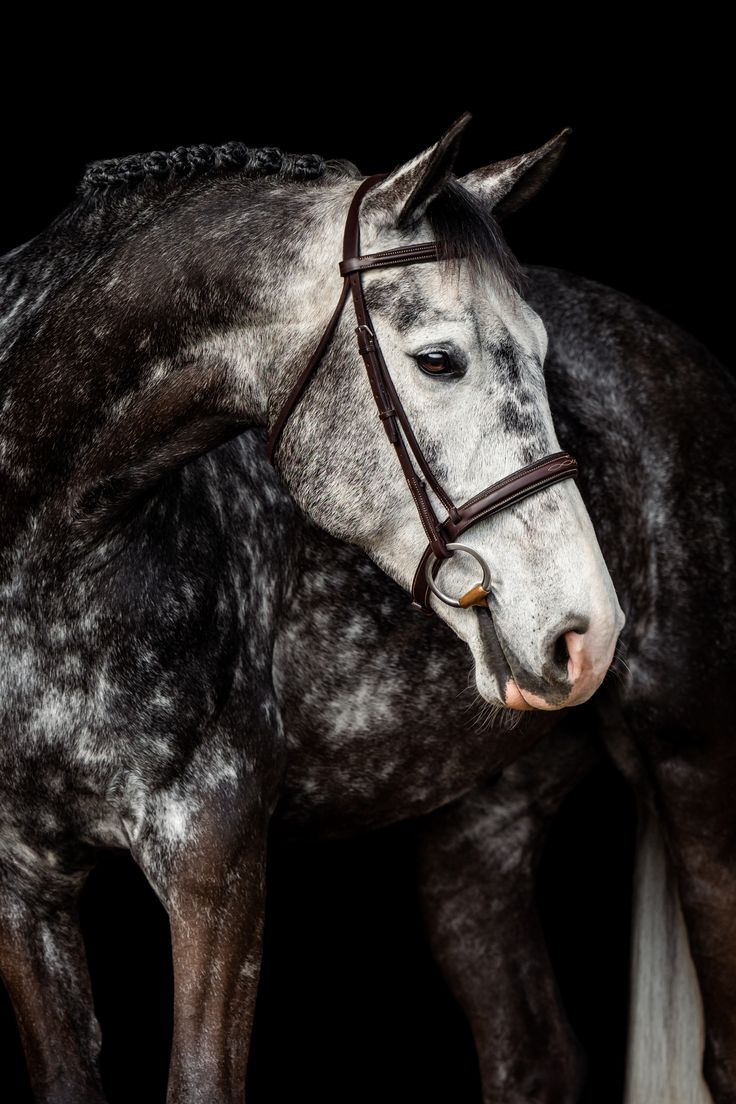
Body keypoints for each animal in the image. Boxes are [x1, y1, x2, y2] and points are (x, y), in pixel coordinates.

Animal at [0, 114, 626, 1104]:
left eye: (542, 350)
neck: (43, 565)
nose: (588, 632)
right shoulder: (23, 890)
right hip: (477, 835)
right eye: (438, 360)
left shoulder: (214, 864)